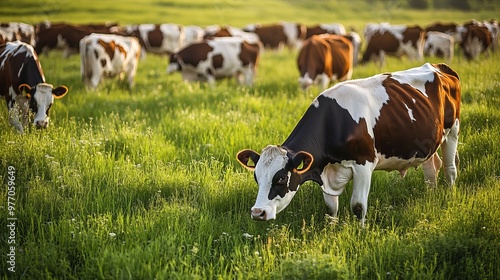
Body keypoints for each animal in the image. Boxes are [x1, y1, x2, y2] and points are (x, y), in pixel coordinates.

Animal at [237, 63, 460, 225]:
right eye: (256, 177)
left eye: (282, 178)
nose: (258, 212)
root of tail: (440, 67)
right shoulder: (326, 171)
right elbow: (330, 208)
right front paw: (331, 230)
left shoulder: (364, 164)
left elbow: (358, 206)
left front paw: (360, 232)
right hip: (429, 142)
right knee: (431, 169)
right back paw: (430, 196)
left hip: (453, 131)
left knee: (450, 168)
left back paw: (449, 196)